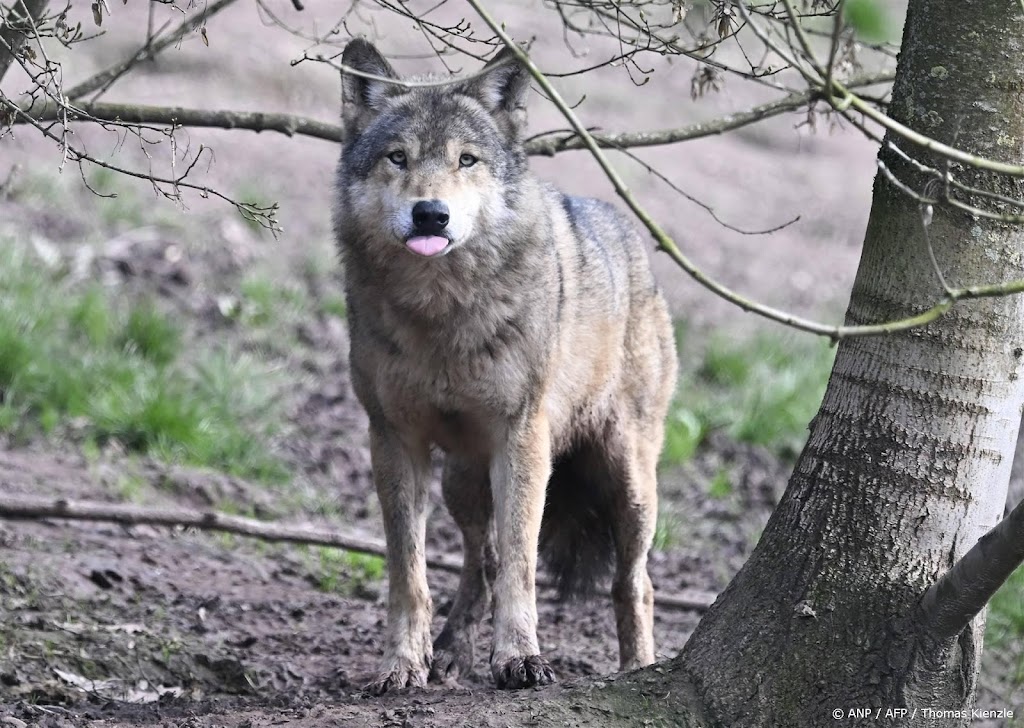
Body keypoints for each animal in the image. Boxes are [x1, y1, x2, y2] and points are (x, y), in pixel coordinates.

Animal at [331, 38, 675, 696]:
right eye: (397, 157)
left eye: (466, 160)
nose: (430, 214)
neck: (441, 313)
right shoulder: (392, 439)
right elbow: (409, 573)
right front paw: (402, 664)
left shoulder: (523, 437)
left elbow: (521, 561)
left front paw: (520, 659)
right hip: (461, 479)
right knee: (479, 559)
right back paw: (452, 652)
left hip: (629, 483)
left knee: (634, 581)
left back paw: (637, 670)